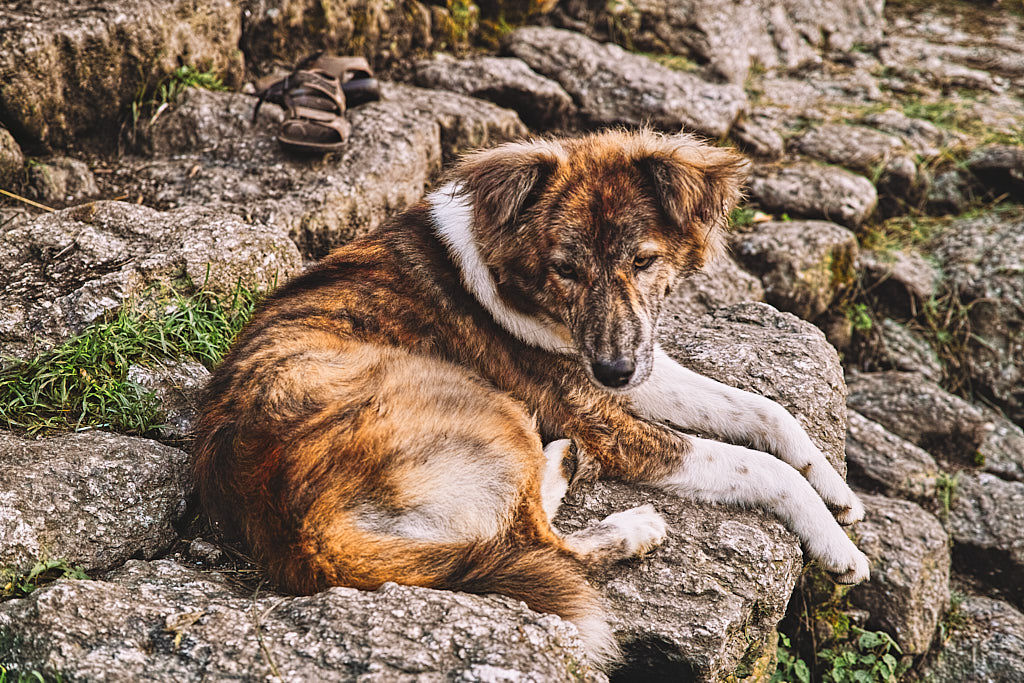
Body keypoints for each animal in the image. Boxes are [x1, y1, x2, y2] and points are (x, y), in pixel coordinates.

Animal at [190, 129, 864, 667]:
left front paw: (840, 493)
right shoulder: (605, 425)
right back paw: (630, 524)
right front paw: (837, 547)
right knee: (541, 547)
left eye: (644, 260)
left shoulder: (638, 364)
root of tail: (302, 533)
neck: (509, 278)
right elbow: (761, 466)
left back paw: (559, 464)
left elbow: (766, 410)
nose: (615, 373)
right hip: (486, 405)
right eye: (566, 268)